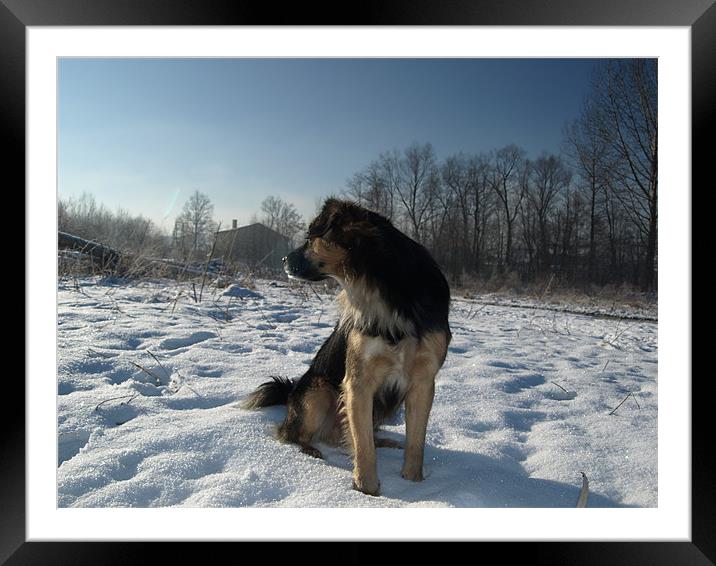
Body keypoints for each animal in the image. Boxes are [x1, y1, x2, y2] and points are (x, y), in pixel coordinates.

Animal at [243, 200, 450, 496]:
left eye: (310, 239)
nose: (283, 260)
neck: (383, 290)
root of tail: (291, 391)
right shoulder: (357, 381)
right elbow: (362, 446)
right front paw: (367, 490)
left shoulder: (423, 381)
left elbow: (416, 442)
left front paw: (413, 483)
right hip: (319, 392)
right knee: (292, 434)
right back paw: (311, 450)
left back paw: (384, 442)